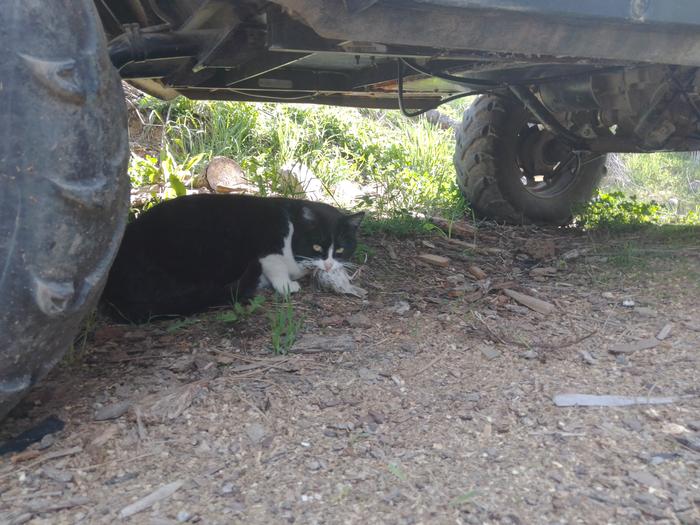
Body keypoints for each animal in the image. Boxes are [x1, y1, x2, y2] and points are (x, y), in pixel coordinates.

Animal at [104, 194, 366, 322]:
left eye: (340, 250)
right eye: (316, 246)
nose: (329, 265)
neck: (292, 226)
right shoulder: (268, 244)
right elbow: (274, 264)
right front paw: (286, 284)